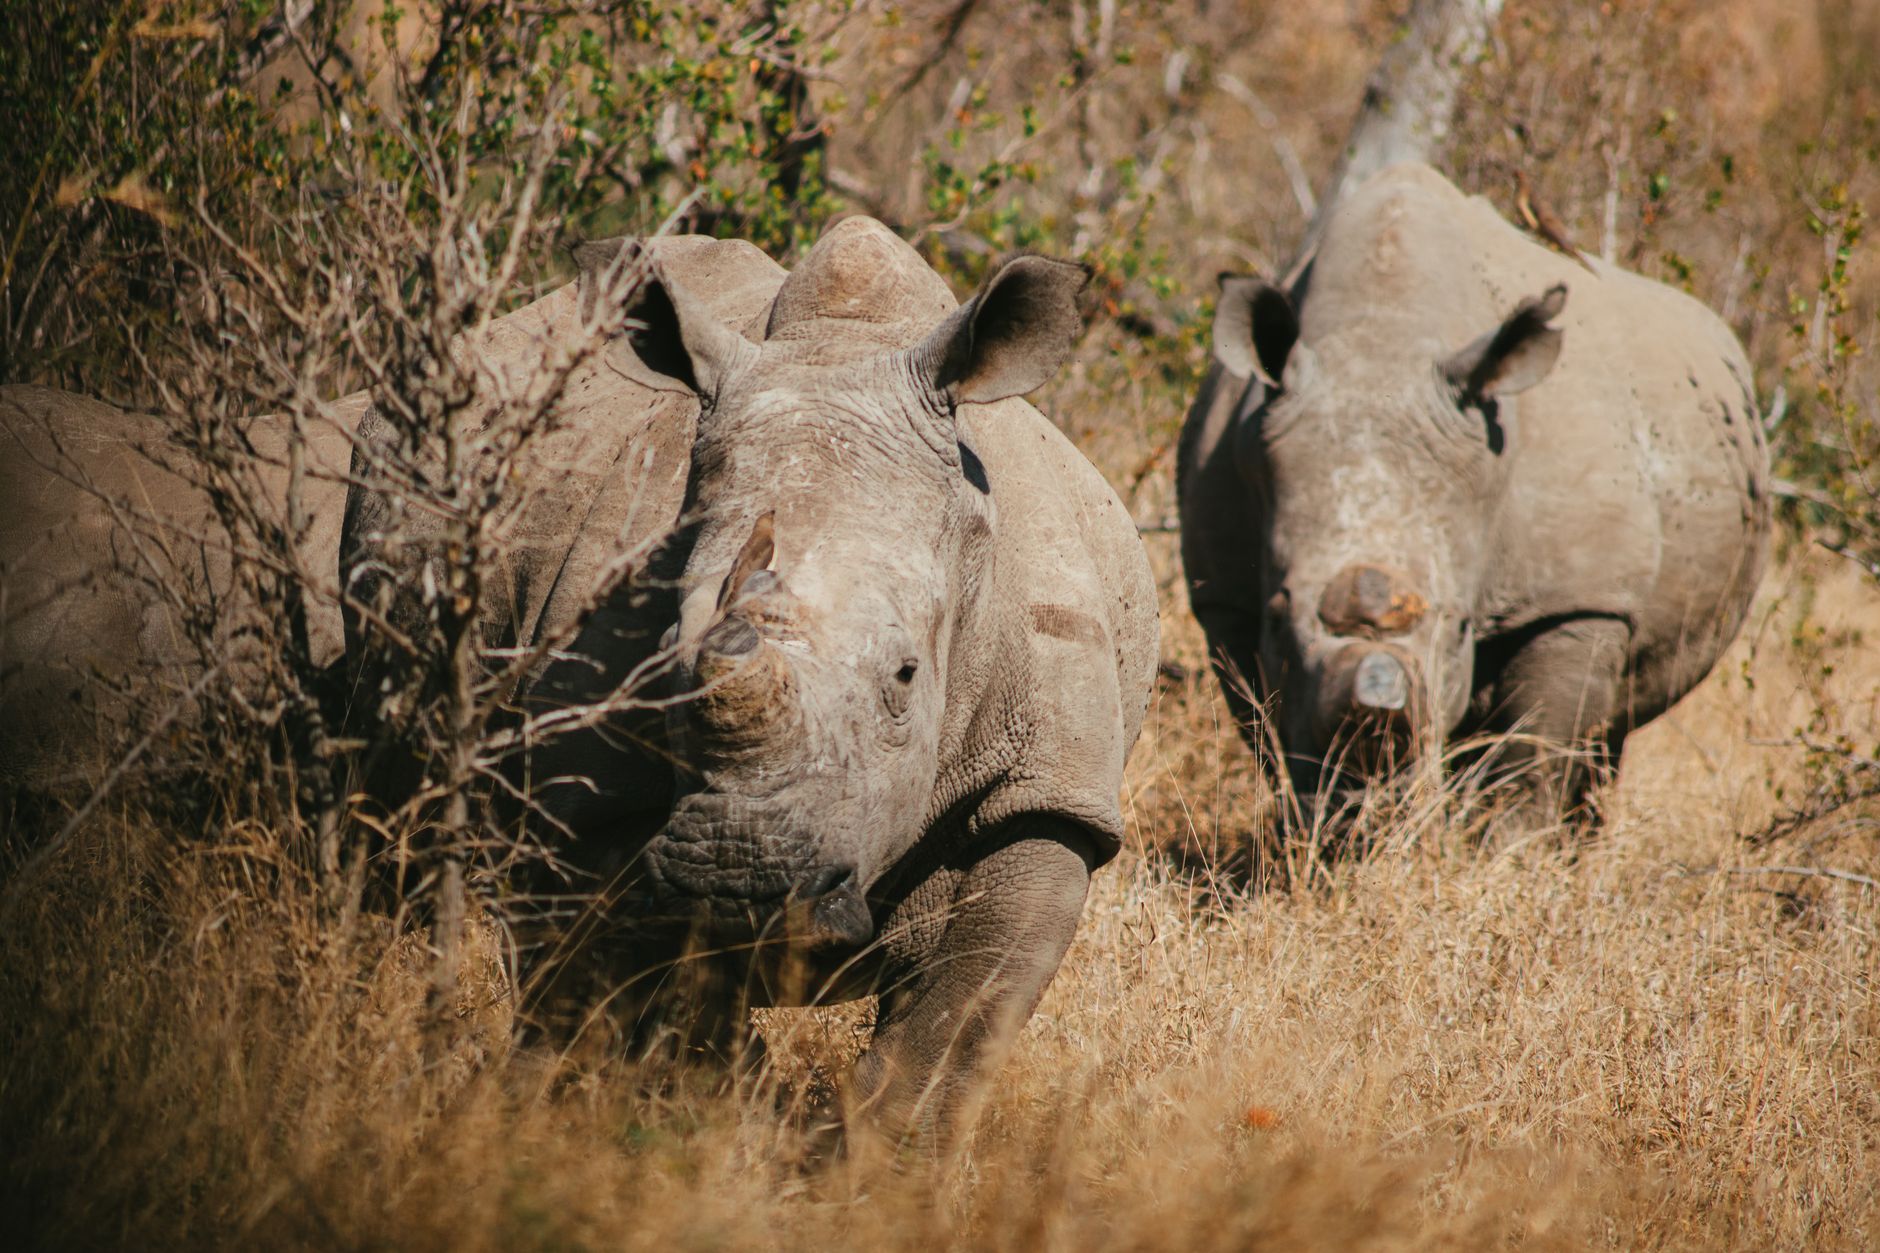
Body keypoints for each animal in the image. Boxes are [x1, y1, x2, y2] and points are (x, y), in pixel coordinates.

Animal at [341, 218, 1158, 1135]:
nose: (739, 879)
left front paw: (869, 1161)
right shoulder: (590, 795)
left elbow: (950, 1029)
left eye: (906, 675)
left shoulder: (1045, 790)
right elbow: (650, 997)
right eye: (665, 659)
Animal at [1179, 162, 1770, 818]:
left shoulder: (1580, 599)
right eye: (1279, 617)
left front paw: (1511, 842)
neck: (1379, 341)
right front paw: (1326, 830)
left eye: (1461, 627)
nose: (1376, 782)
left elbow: (1532, 765)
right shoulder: (1223, 597)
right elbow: (1269, 738)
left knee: (1602, 737)